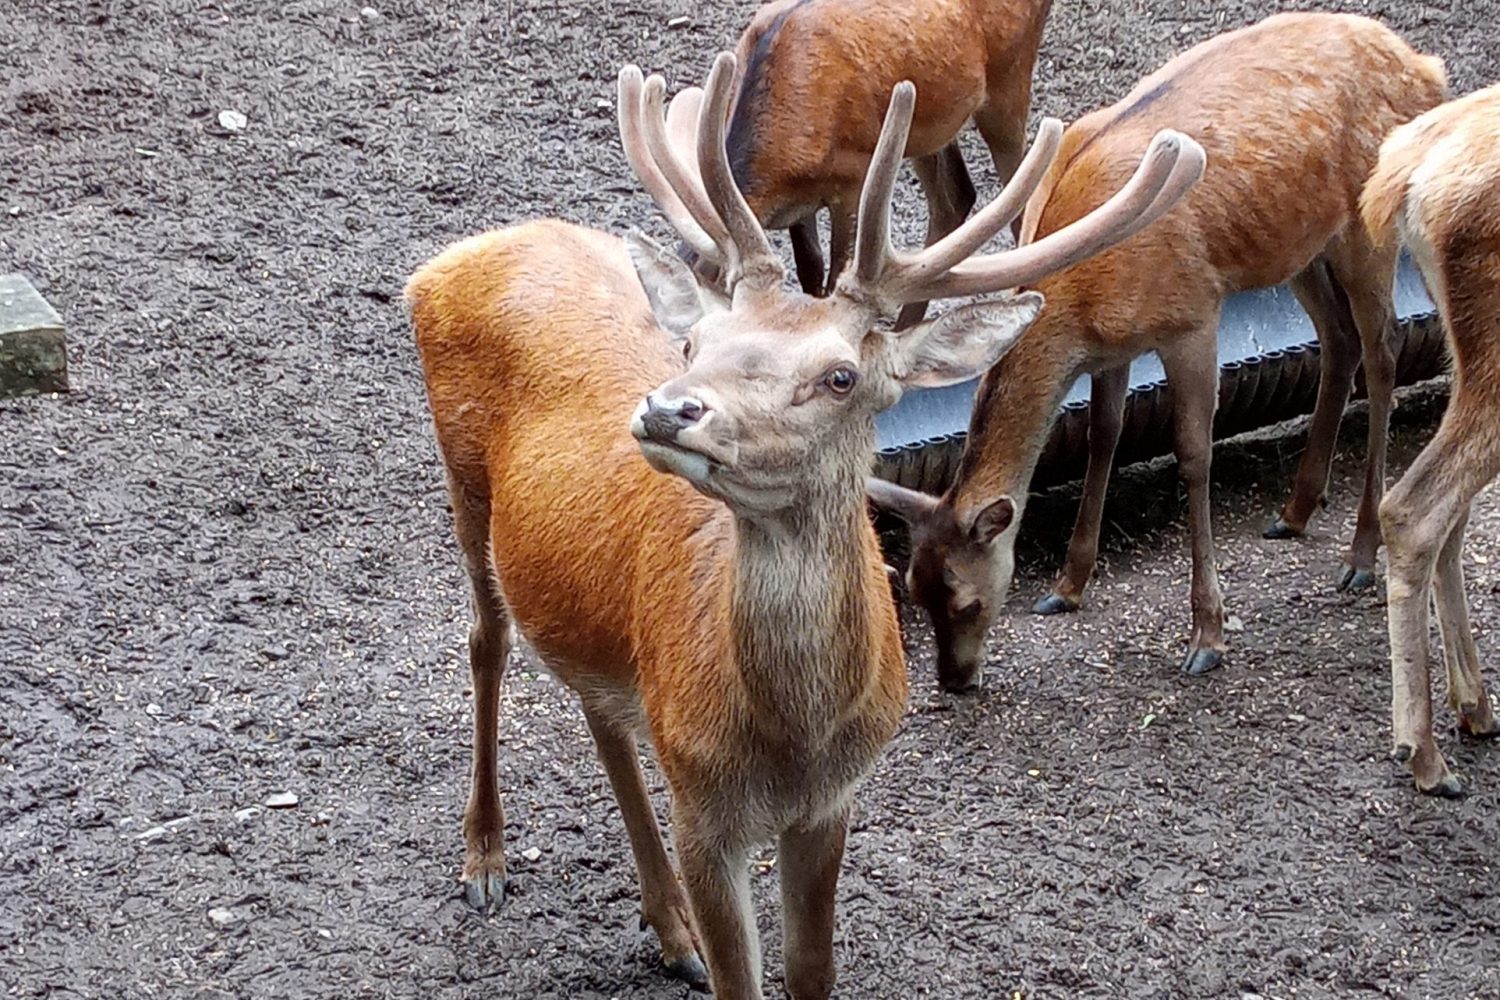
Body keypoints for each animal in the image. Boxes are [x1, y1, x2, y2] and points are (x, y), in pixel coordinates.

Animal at [405, 48, 1200, 1000]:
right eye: (696, 343)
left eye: (839, 377)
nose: (668, 407)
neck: (794, 746)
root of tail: (453, 259)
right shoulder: (704, 807)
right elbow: (740, 980)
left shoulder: (832, 802)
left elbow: (810, 970)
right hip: (461, 472)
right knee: (487, 639)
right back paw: (485, 860)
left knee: (598, 706)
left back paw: (666, 926)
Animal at [711, 0, 1056, 325]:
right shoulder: (799, 205)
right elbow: (810, 265)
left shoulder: (854, 175)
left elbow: (837, 273)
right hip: (921, 129)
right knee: (956, 195)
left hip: (1009, 82)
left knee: (1022, 200)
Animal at [864, 11, 1446, 689]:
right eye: (913, 588)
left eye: (966, 600)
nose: (954, 681)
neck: (1083, 297)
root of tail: (1423, 67)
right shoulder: (1112, 348)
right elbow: (1104, 434)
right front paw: (1067, 585)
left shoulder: (1193, 315)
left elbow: (1193, 453)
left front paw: (1206, 636)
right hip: (1298, 244)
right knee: (1338, 337)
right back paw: (1296, 509)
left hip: (1363, 228)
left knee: (1382, 354)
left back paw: (1360, 554)